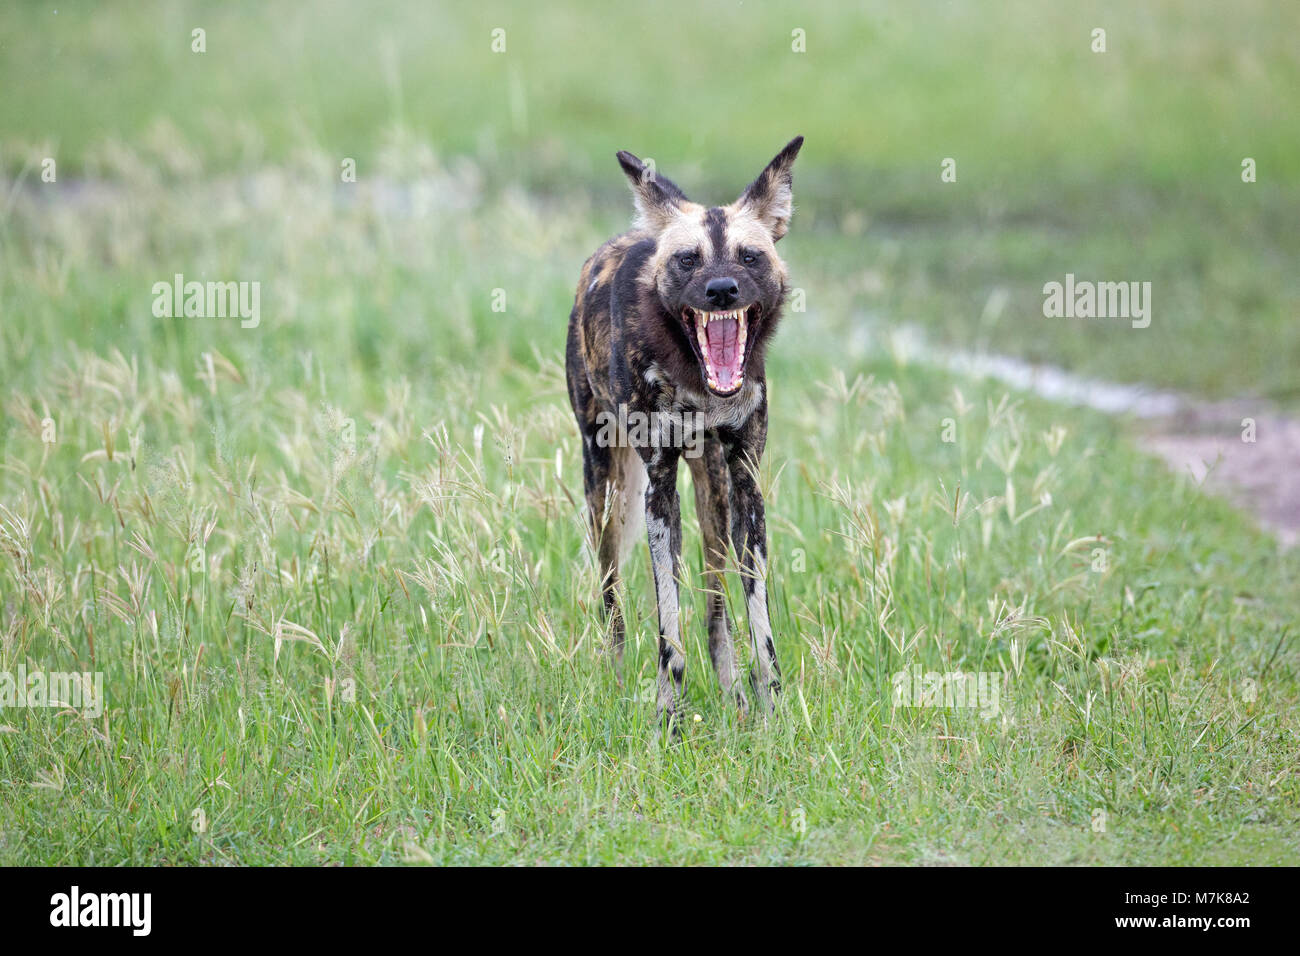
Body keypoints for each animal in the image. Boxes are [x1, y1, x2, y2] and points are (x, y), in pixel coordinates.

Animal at [566, 136, 800, 733]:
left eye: (748, 256)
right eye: (688, 259)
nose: (721, 290)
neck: (700, 384)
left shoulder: (746, 485)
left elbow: (756, 618)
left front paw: (772, 711)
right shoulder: (659, 489)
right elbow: (667, 618)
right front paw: (667, 717)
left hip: (714, 498)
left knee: (717, 612)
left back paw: (734, 697)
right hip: (605, 491)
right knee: (613, 605)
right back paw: (616, 681)